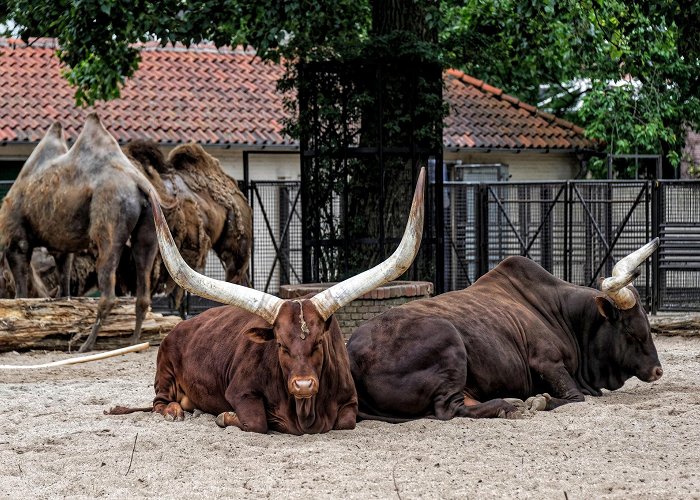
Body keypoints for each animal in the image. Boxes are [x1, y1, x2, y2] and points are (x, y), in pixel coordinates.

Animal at [0, 115, 159, 354]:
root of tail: (139, 183)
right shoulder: (61, 247)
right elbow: (65, 287)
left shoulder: (16, 240)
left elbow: (20, 292)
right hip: (151, 226)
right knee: (143, 287)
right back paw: (133, 342)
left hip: (111, 212)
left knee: (108, 288)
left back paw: (87, 344)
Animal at [109, 168, 426, 434]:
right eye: (281, 345)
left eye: (318, 344)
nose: (303, 384)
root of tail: (178, 327)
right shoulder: (239, 391)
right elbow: (257, 422)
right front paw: (226, 416)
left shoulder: (349, 401)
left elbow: (345, 422)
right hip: (164, 369)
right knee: (158, 401)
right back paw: (174, 411)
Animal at [348, 240, 664, 420]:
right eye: (631, 332)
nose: (658, 370)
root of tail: (351, 355)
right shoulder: (547, 362)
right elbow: (575, 397)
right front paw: (540, 401)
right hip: (449, 338)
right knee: (449, 409)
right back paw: (509, 406)